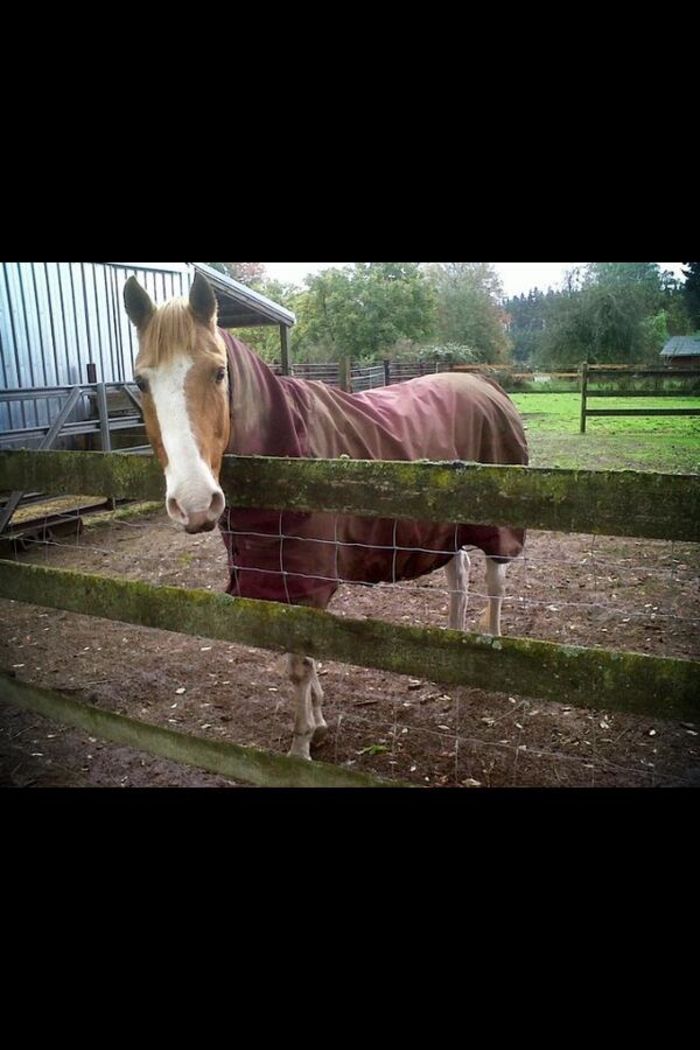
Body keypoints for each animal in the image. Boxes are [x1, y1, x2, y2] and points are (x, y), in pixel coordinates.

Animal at [124, 272, 528, 761]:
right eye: (142, 382)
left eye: (219, 372)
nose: (195, 502)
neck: (287, 450)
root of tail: (488, 387)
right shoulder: (279, 580)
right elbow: (299, 657)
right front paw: (317, 722)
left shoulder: (306, 582)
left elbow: (300, 664)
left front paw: (301, 747)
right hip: (442, 527)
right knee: (459, 576)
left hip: (495, 526)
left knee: (494, 580)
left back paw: (490, 645)